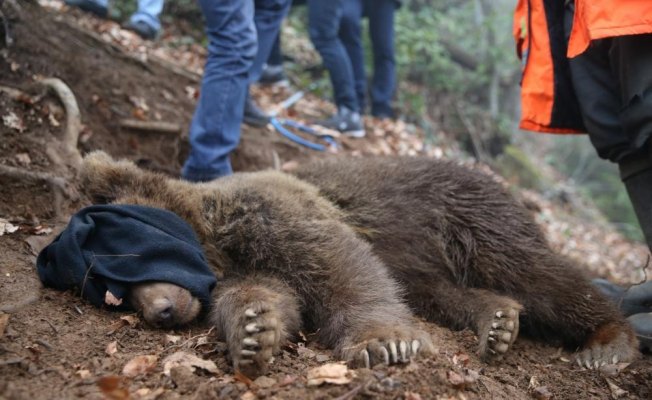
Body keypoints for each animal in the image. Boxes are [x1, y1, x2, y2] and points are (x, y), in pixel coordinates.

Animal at [80, 152, 636, 376]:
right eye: (112, 293)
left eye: (131, 254)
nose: (159, 310)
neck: (216, 244)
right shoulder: (245, 267)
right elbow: (268, 297)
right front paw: (254, 331)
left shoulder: (273, 210)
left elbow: (340, 264)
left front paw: (383, 343)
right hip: (426, 262)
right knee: (444, 293)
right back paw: (496, 321)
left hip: (465, 216)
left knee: (536, 275)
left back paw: (608, 343)